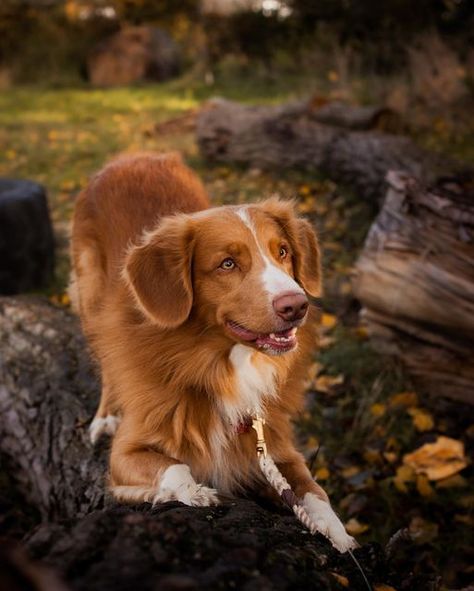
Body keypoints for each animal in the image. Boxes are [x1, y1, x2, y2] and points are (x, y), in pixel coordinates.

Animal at [70, 154, 356, 556]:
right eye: (227, 264)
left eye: (282, 251)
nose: (296, 306)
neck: (222, 364)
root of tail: (133, 157)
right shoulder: (125, 453)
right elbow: (176, 467)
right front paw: (196, 492)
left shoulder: (275, 446)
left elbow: (313, 490)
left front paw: (336, 530)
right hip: (91, 296)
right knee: (108, 362)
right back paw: (106, 415)